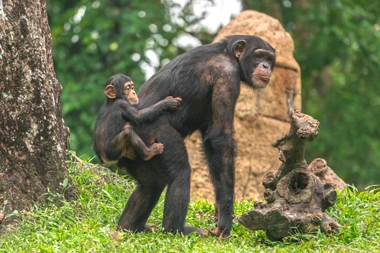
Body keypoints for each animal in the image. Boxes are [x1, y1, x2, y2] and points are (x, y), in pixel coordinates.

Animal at [116, 35, 276, 237]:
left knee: (151, 184)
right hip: (153, 133)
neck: (230, 55)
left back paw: (127, 227)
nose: (266, 66)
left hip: (139, 152)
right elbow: (221, 137)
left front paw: (219, 212)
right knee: (180, 172)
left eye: (270, 58)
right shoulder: (226, 76)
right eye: (259, 55)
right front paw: (225, 222)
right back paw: (176, 230)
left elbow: (211, 140)